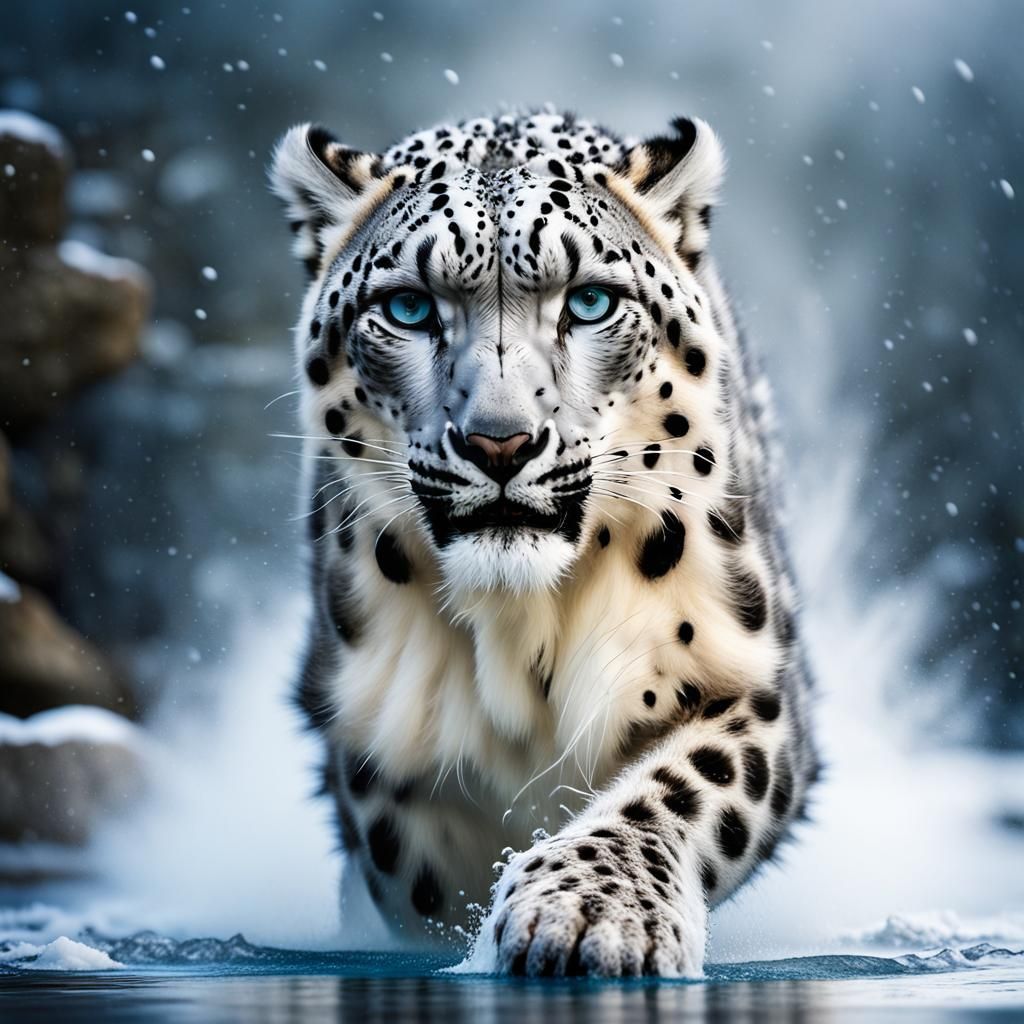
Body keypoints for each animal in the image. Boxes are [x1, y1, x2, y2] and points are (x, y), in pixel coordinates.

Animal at [269, 107, 819, 978]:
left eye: (589, 301)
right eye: (410, 308)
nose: (501, 442)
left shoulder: (746, 675)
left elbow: (681, 787)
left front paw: (592, 912)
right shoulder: (375, 733)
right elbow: (424, 878)